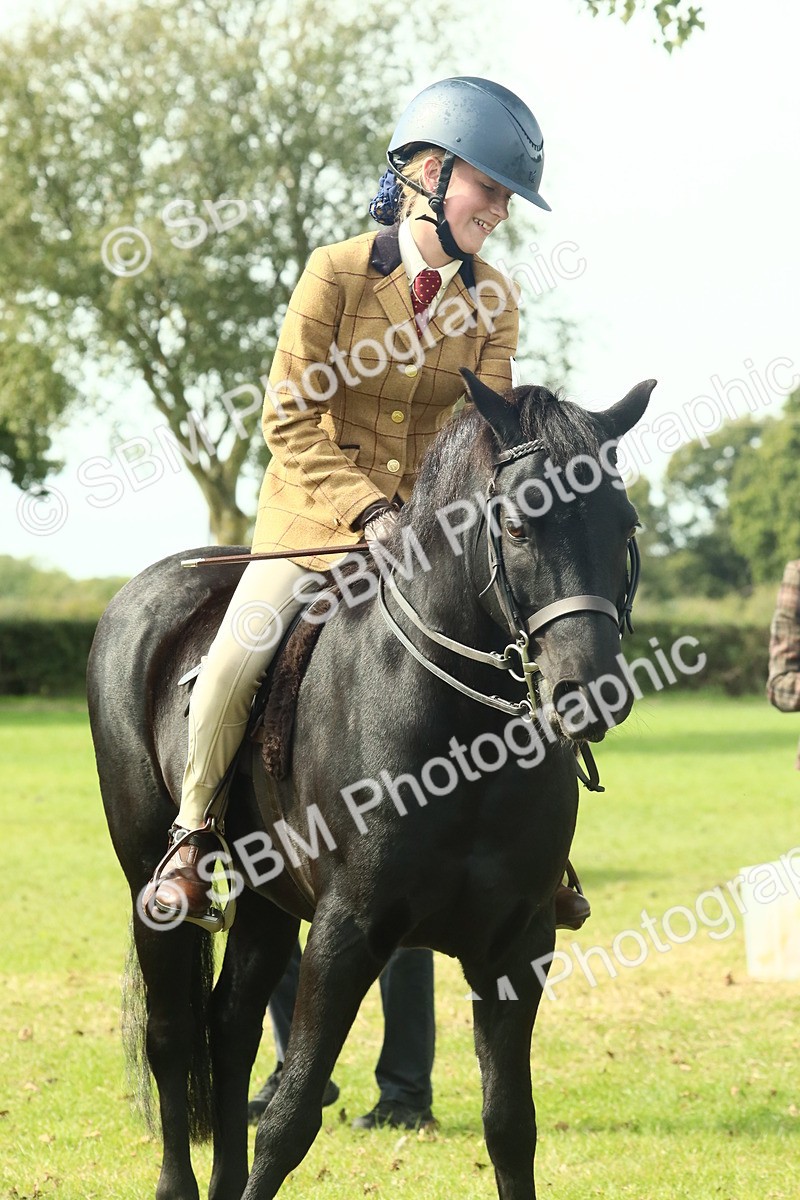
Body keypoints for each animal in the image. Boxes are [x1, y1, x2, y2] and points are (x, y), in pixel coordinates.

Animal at [87, 369, 655, 1200]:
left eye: (625, 524)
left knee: (229, 1027)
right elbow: (290, 1120)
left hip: (267, 902)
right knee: (172, 1035)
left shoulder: (518, 944)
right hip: (149, 885)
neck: (464, 741)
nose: (592, 691)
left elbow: (511, 1127)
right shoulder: (345, 932)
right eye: (519, 527)